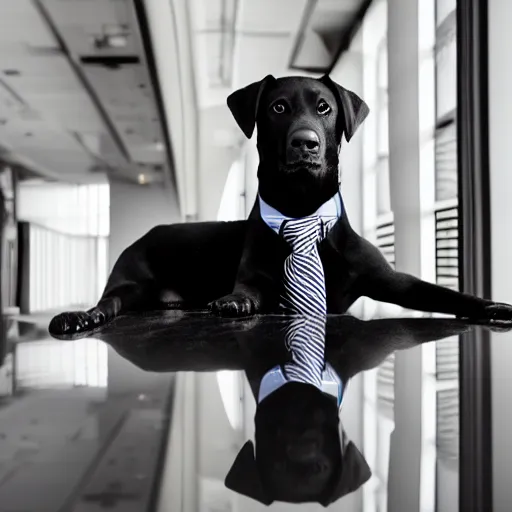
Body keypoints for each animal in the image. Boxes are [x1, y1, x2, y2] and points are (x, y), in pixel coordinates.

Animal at [49, 72, 512, 336]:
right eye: (278, 107)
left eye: (324, 107)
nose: (305, 143)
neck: (301, 206)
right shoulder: (252, 276)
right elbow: (246, 291)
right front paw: (236, 302)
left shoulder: (394, 281)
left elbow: (444, 293)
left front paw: (492, 306)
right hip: (130, 282)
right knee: (108, 303)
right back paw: (81, 316)